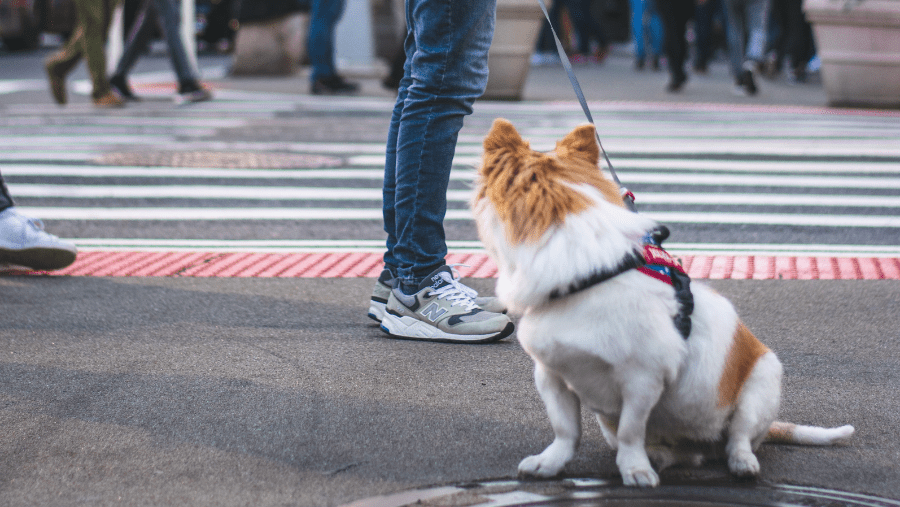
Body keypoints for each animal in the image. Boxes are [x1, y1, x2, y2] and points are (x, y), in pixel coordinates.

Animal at [474, 119, 856, 488]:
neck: (590, 276)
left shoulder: (642, 379)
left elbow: (631, 431)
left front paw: (635, 470)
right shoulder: (551, 374)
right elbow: (566, 430)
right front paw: (551, 463)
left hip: (761, 381)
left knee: (738, 437)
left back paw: (739, 462)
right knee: (684, 455)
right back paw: (661, 455)